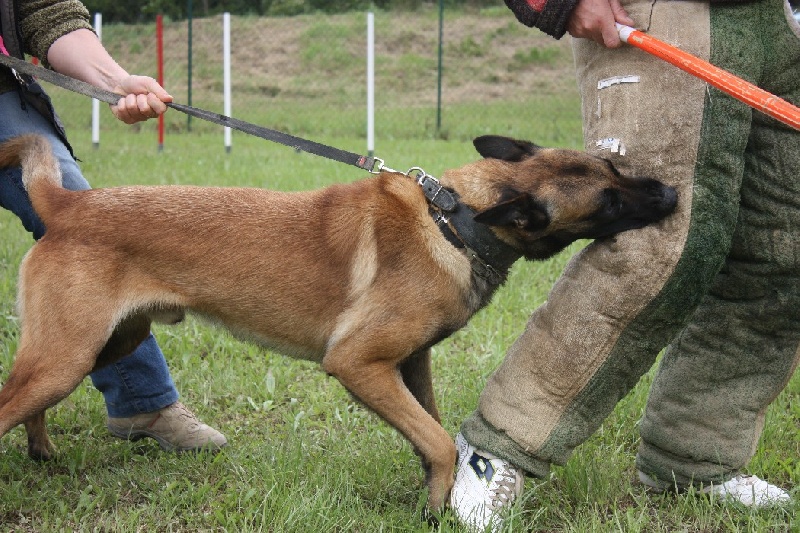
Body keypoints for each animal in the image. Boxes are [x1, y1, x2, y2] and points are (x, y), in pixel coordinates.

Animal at [0, 134, 676, 512]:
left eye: (615, 170)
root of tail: (69, 205)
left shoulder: (409, 363)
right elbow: (437, 440)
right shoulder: (356, 363)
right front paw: (436, 508)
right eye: (609, 200)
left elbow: (430, 430)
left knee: (38, 403)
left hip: (109, 343)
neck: (453, 222)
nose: (671, 194)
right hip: (65, 357)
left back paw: (42, 452)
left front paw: (435, 495)